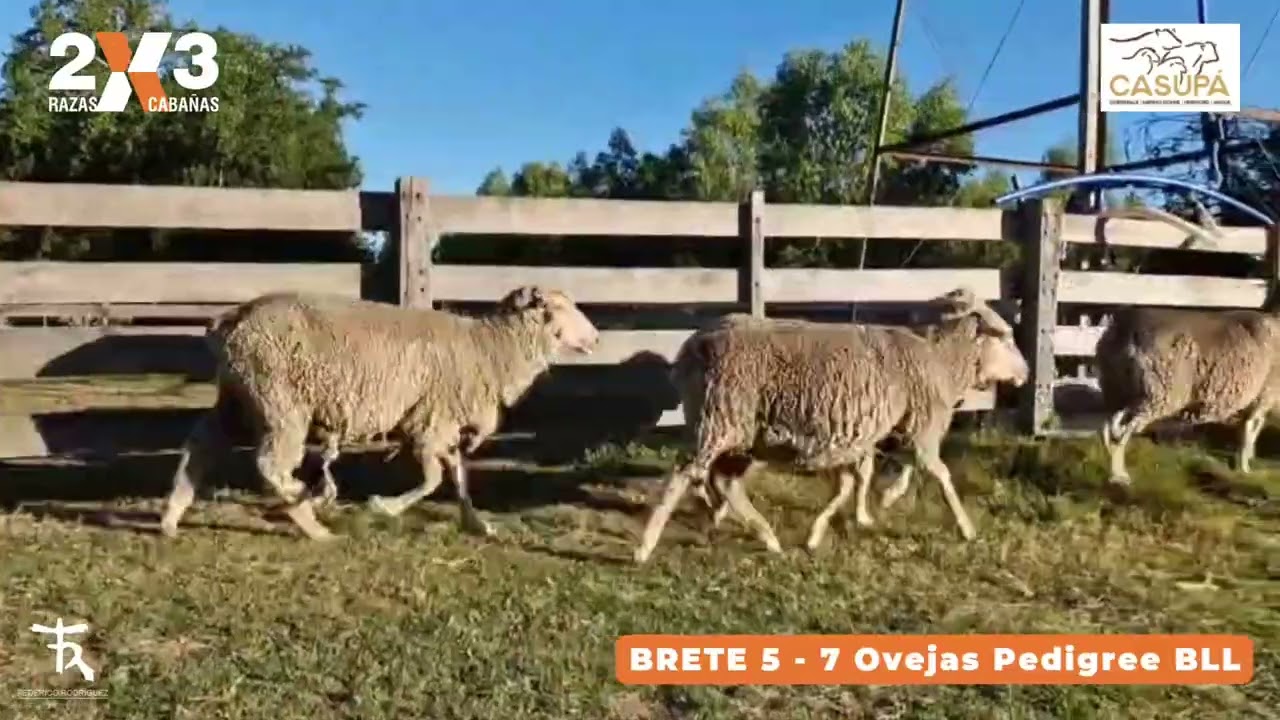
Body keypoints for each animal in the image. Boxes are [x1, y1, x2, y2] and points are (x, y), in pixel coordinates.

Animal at [158, 286, 600, 541]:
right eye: (558, 307)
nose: (596, 338)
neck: (490, 348)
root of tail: (232, 321)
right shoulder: (429, 423)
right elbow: (434, 479)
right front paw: (383, 506)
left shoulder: (442, 424)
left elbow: (457, 477)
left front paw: (479, 525)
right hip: (280, 400)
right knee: (270, 464)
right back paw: (310, 515)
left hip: (240, 396)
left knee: (201, 445)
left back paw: (171, 516)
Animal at [633, 287, 1030, 564]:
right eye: (1006, 337)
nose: (1025, 374)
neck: (940, 359)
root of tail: (693, 345)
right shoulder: (919, 425)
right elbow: (939, 475)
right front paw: (966, 528)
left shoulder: (871, 433)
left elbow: (858, 480)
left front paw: (842, 522)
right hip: (719, 418)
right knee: (685, 474)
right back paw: (645, 547)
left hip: (743, 432)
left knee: (725, 482)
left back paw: (766, 537)